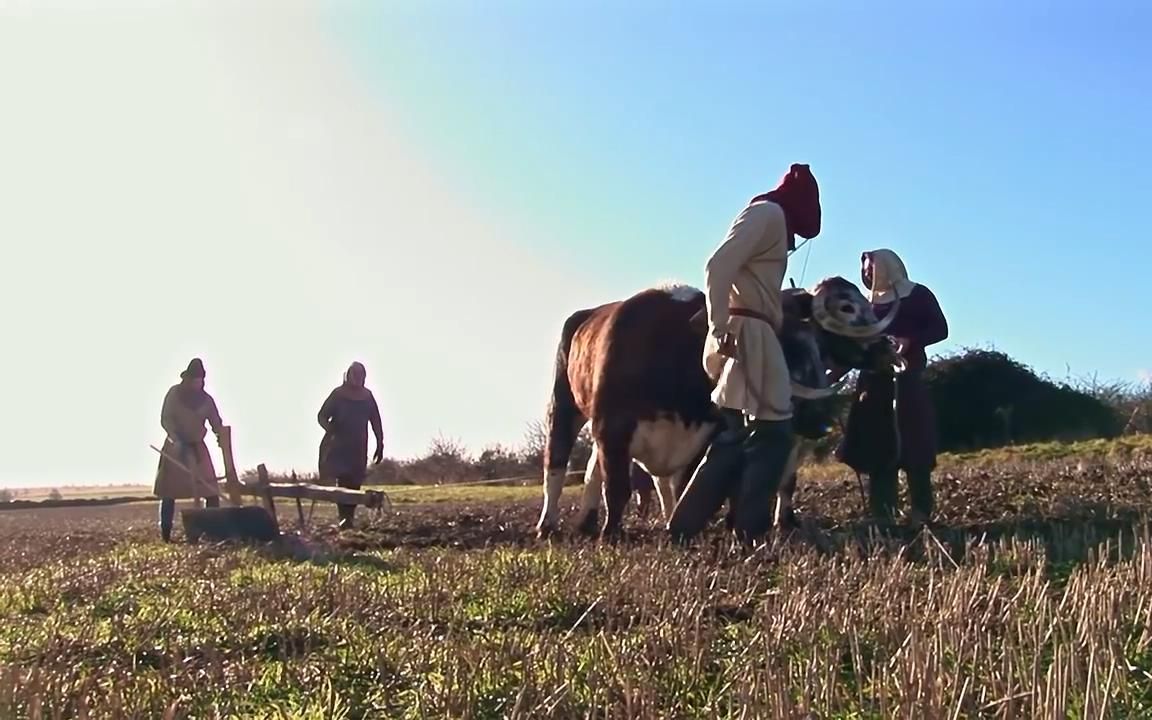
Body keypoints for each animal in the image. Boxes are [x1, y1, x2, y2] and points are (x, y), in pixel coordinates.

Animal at [534, 275, 903, 539]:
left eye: (818, 347)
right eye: (847, 307)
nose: (889, 346)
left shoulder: (707, 433)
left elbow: (686, 485)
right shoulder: (612, 426)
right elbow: (617, 488)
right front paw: (612, 534)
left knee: (601, 470)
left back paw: (588, 521)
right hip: (564, 406)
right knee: (557, 463)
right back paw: (548, 524)